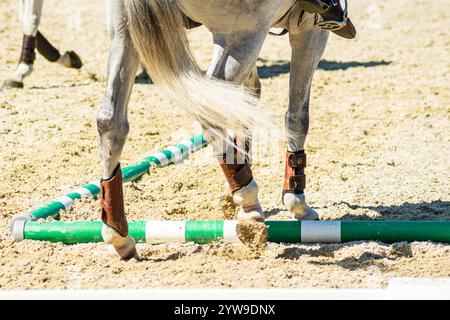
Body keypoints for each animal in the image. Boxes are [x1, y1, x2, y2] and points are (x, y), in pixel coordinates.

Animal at [100, 0, 356, 258]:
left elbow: (246, 101)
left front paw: (235, 180)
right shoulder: (309, 30)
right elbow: (297, 117)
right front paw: (296, 201)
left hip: (123, 33)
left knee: (111, 121)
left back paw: (118, 234)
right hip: (242, 33)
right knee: (208, 107)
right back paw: (249, 203)